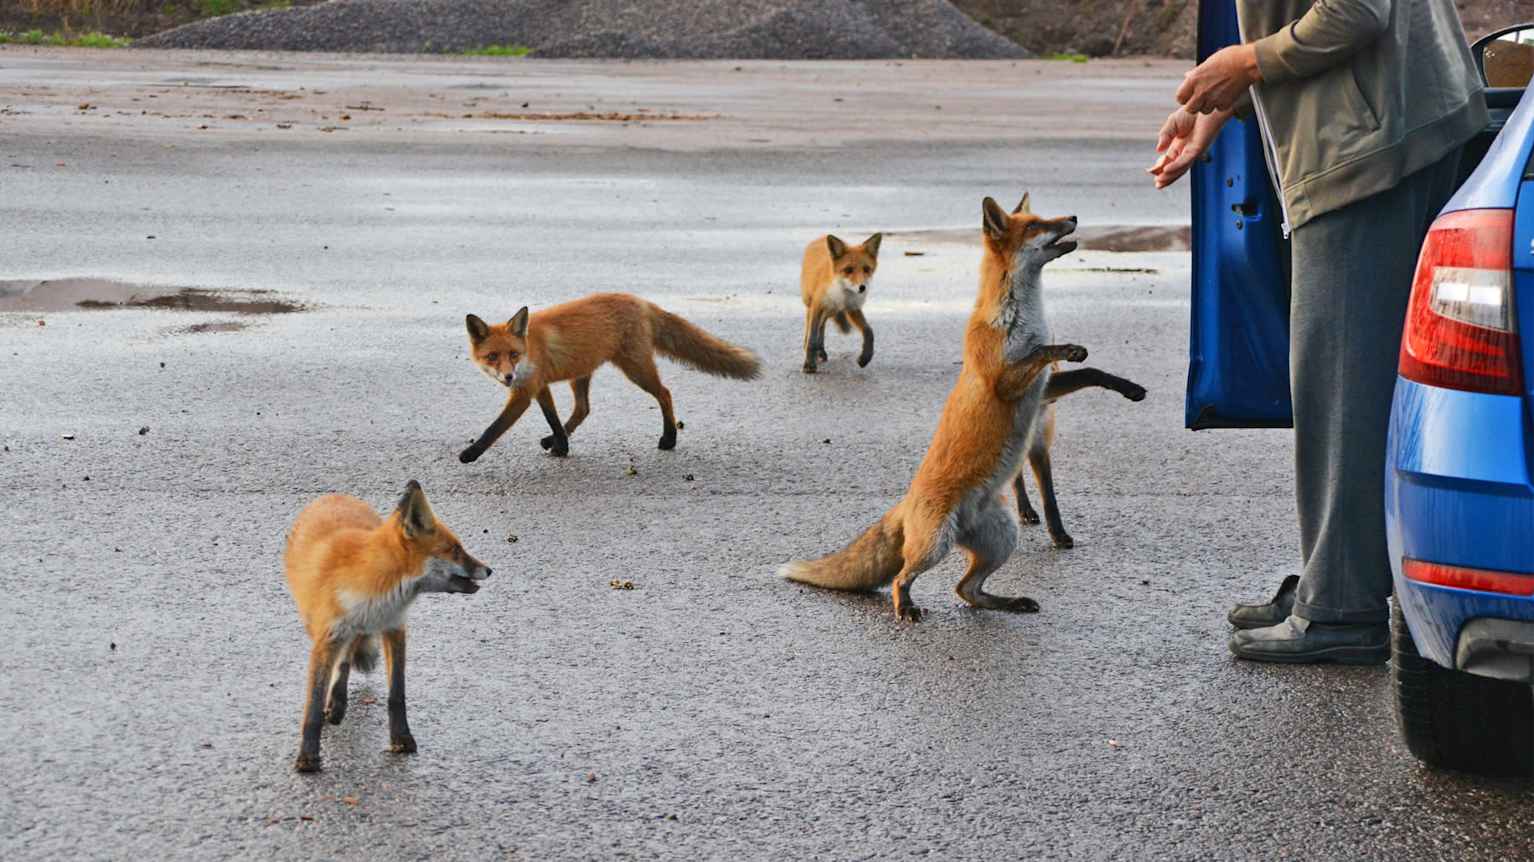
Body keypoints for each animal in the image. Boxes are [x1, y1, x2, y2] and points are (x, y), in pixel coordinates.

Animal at [280, 478, 484, 766]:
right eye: (455, 550)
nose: (489, 570)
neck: (374, 586)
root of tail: (333, 496)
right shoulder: (327, 637)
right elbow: (313, 704)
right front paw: (308, 756)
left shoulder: (394, 626)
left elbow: (396, 694)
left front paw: (402, 739)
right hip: (315, 623)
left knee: (346, 659)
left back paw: (339, 701)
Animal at [457, 289, 763, 463]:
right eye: (492, 357)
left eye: (513, 354)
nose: (508, 376)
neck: (530, 347)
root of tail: (641, 301)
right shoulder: (538, 385)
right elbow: (552, 418)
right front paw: (561, 446)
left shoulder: (524, 393)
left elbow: (494, 428)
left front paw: (470, 454)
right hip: (581, 373)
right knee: (583, 409)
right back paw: (553, 441)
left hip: (636, 369)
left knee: (665, 393)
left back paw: (669, 439)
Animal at [797, 231, 883, 372]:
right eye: (848, 270)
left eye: (866, 269)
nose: (862, 288)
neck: (842, 295)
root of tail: (821, 237)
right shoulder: (817, 305)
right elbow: (812, 338)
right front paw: (809, 364)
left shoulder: (852, 308)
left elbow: (869, 331)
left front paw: (865, 358)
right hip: (812, 305)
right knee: (812, 327)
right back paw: (813, 350)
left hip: (830, 311)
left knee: (822, 325)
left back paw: (820, 351)